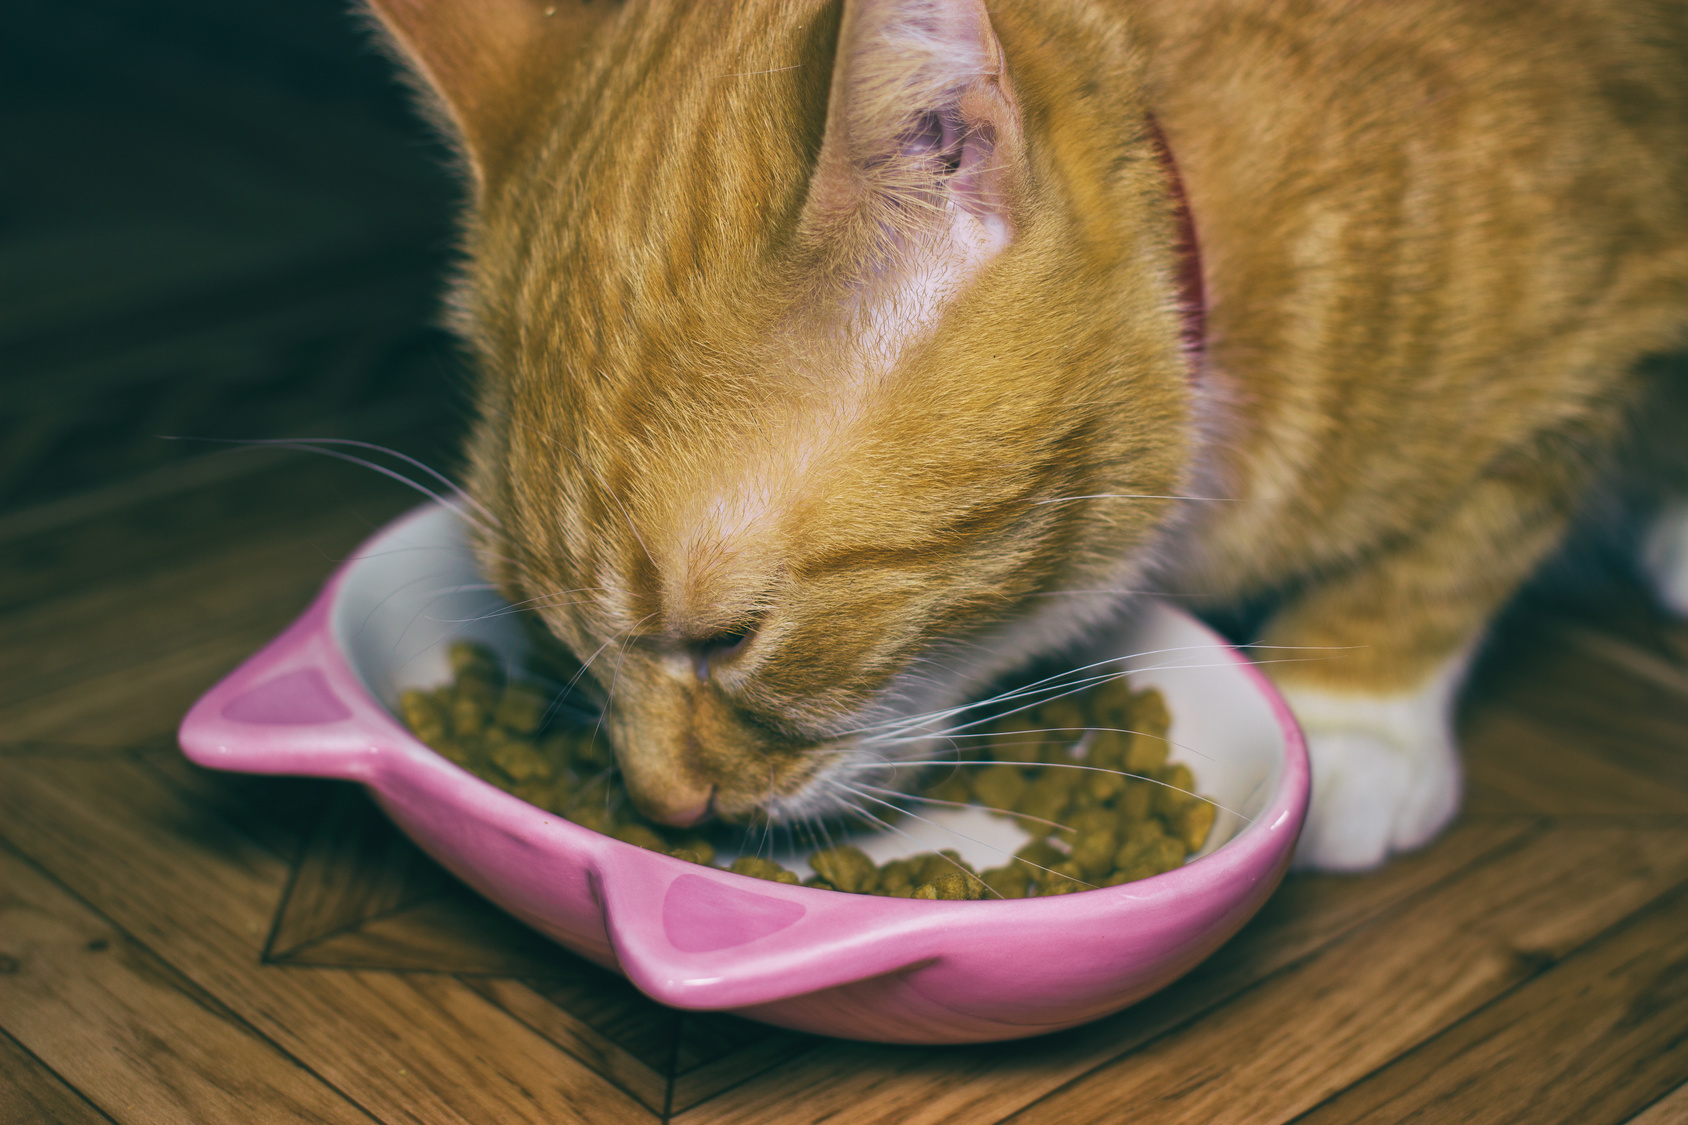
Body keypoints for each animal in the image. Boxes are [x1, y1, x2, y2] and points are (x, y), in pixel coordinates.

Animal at [369, 0, 1688, 864]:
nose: (662, 811)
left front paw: (1354, 718)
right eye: (538, 623)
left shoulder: (1597, 341)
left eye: (728, 638)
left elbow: (1454, 543)